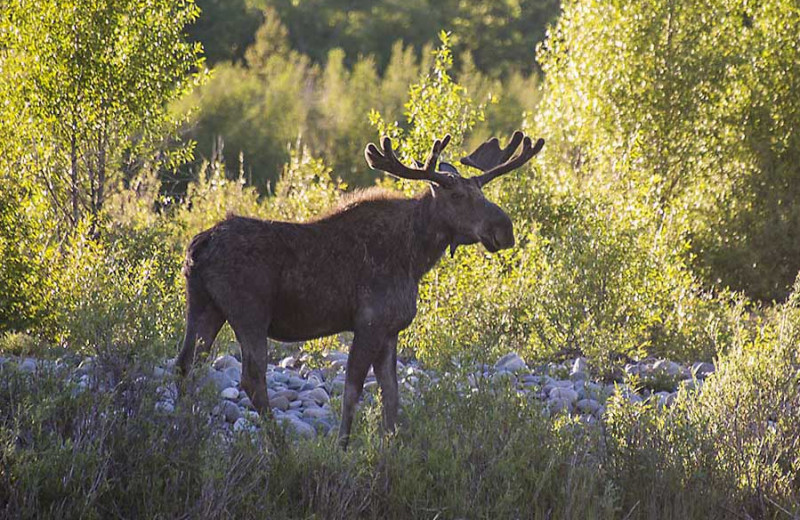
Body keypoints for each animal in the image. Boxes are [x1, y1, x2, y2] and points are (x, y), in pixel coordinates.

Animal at [179, 131, 548, 446]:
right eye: (457, 196)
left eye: (482, 193)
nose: (505, 229)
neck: (416, 256)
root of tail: (201, 244)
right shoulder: (369, 323)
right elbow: (353, 390)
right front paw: (341, 447)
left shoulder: (390, 330)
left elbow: (391, 396)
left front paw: (391, 447)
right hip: (249, 314)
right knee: (252, 379)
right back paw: (279, 447)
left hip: (205, 307)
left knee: (186, 366)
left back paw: (183, 432)